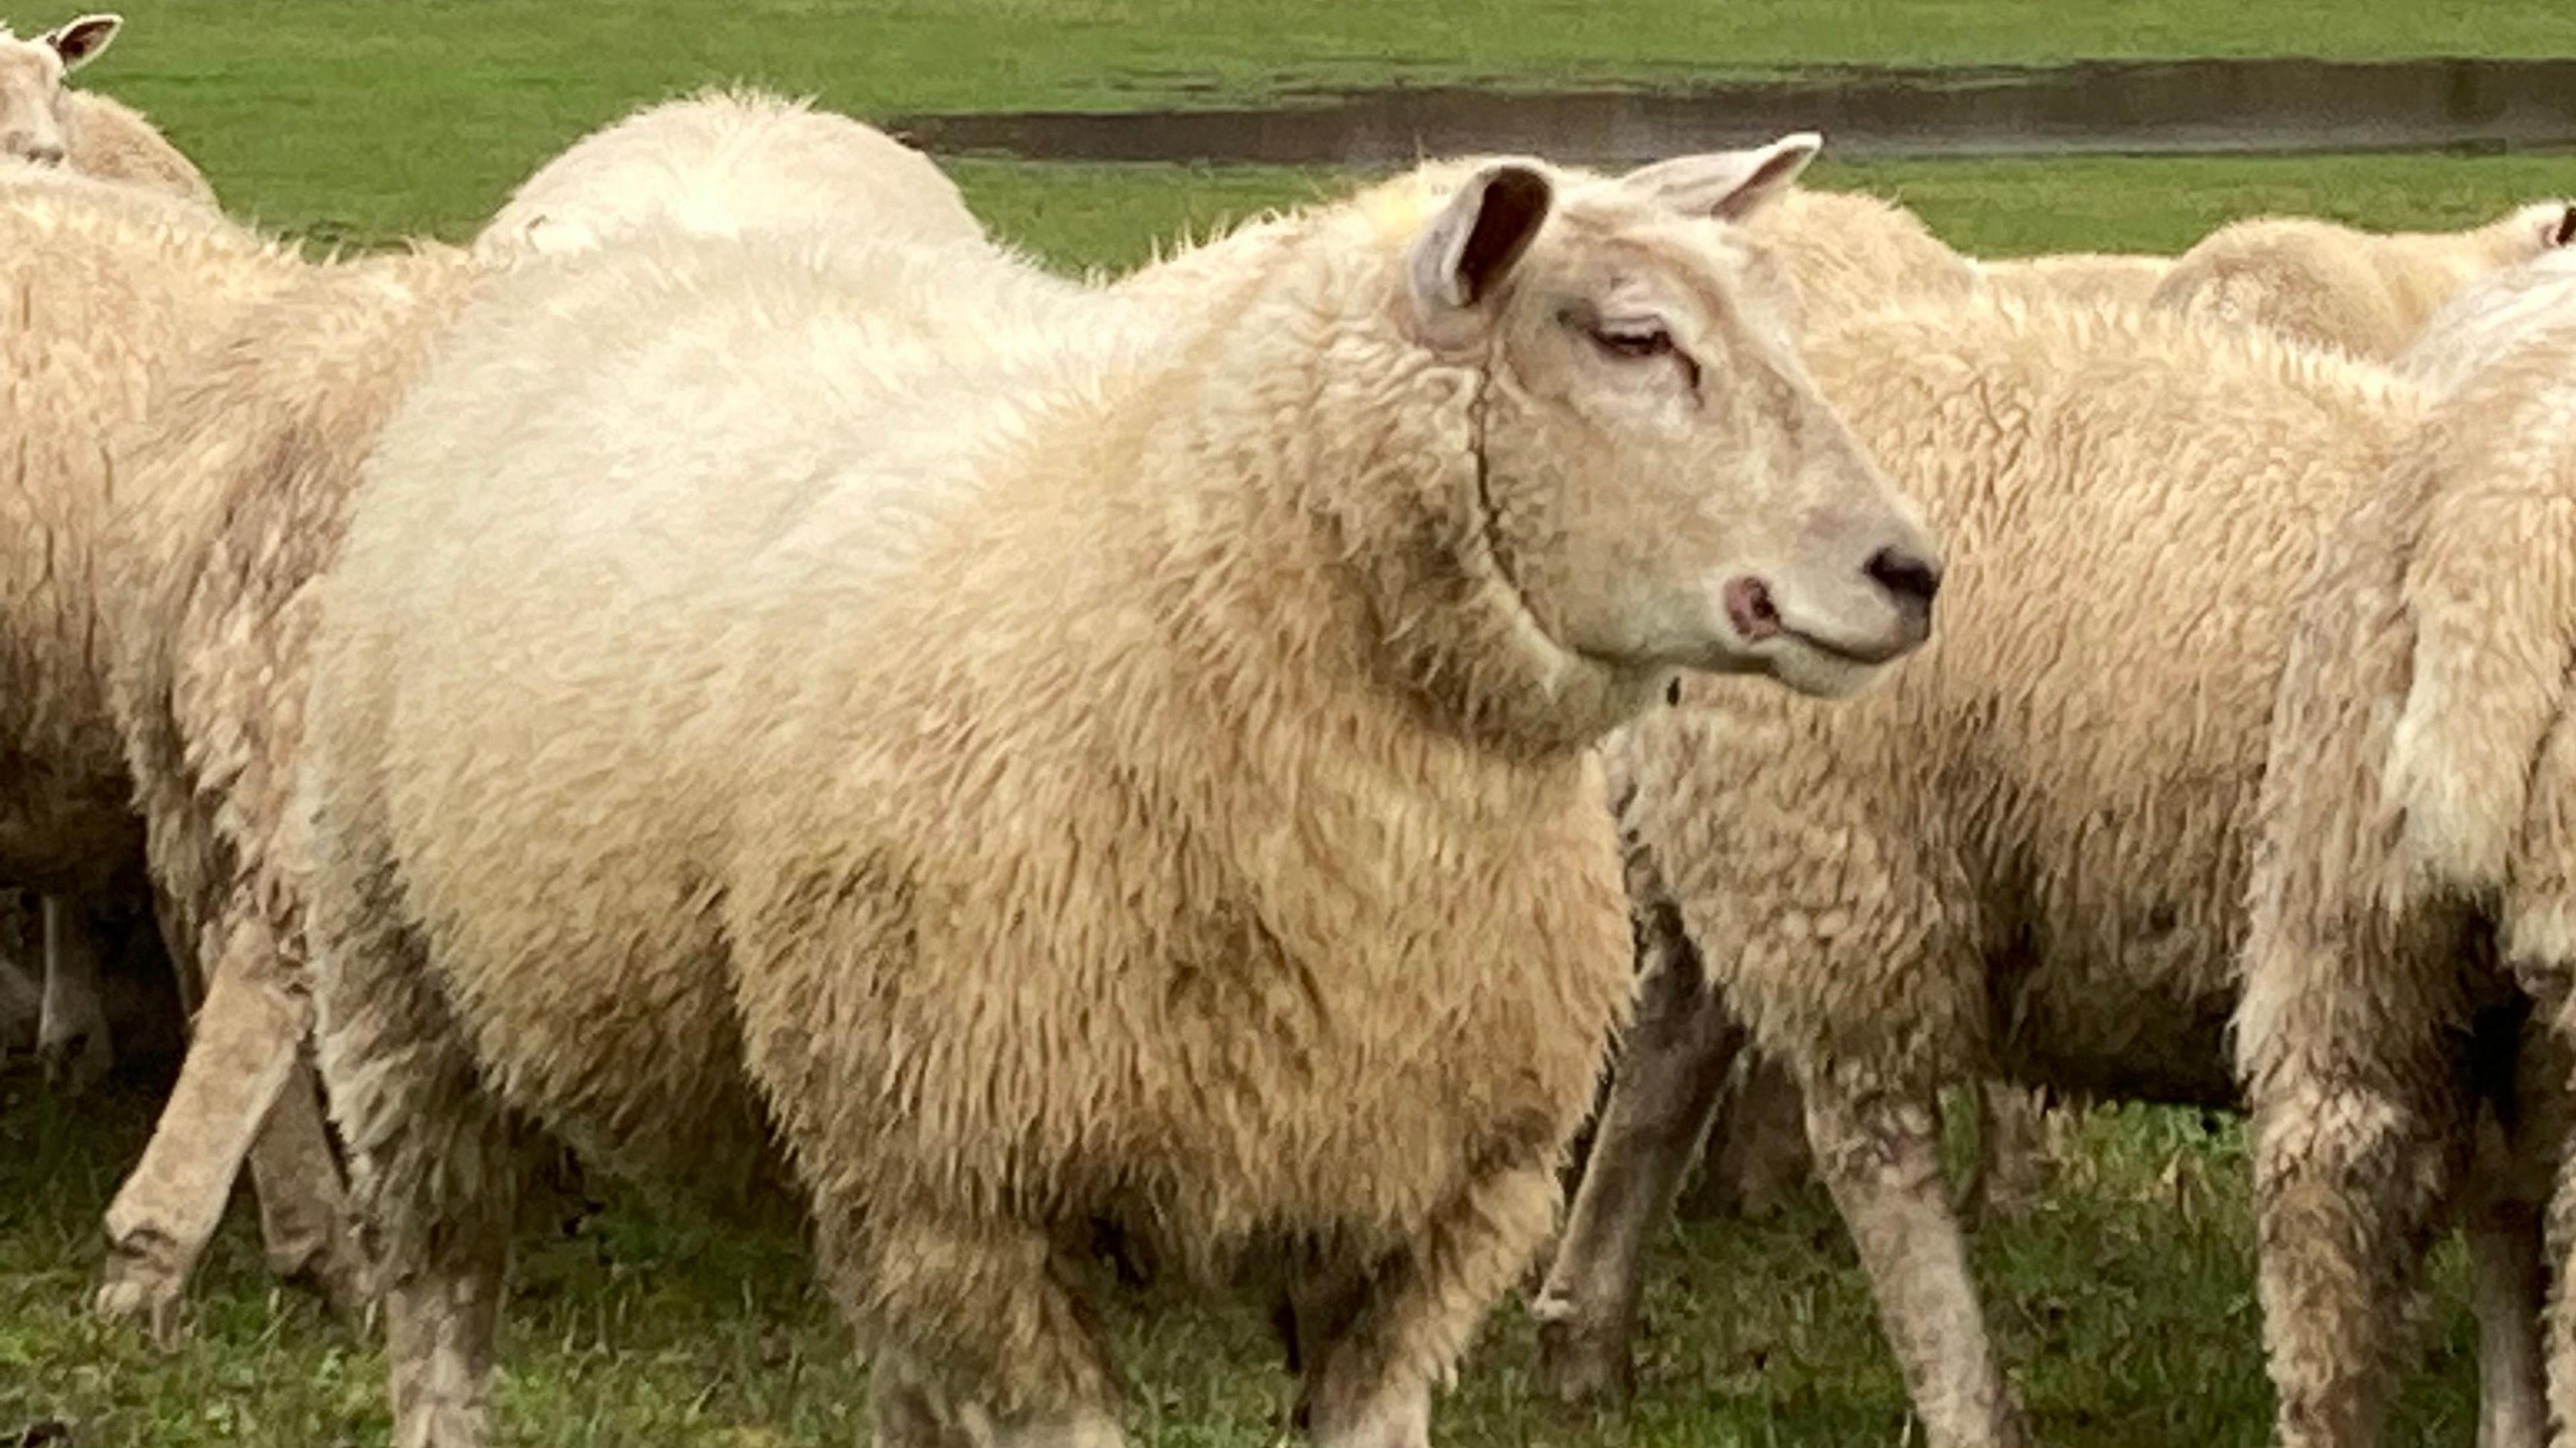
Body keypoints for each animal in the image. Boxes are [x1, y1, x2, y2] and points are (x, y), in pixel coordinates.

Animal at [296, 146, 1937, 1443]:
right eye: (1635, 338)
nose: (1912, 571)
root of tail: (686, 215)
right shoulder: (976, 1200)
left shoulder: (1427, 1212)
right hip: (397, 996)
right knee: (441, 1308)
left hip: (843, 1135)